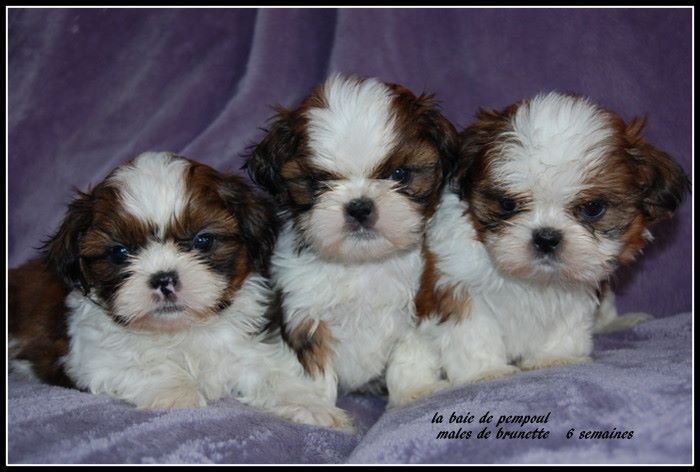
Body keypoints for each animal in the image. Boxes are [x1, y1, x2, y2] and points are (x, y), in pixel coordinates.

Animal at [8, 152, 352, 432]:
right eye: (120, 252)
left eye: (203, 240)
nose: (164, 279)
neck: (182, 331)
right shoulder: (91, 358)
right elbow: (140, 365)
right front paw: (177, 391)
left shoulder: (251, 347)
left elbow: (274, 374)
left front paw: (311, 406)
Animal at [246, 74, 460, 410]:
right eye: (318, 183)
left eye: (400, 174)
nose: (359, 207)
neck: (362, 264)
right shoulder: (304, 315)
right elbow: (313, 368)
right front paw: (317, 406)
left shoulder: (419, 303)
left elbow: (410, 353)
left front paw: (414, 390)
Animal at [410, 90, 688, 390]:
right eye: (507, 204)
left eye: (593, 208)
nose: (546, 237)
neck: (533, 279)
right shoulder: (456, 281)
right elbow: (472, 331)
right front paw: (485, 371)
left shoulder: (579, 286)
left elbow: (567, 321)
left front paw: (554, 357)